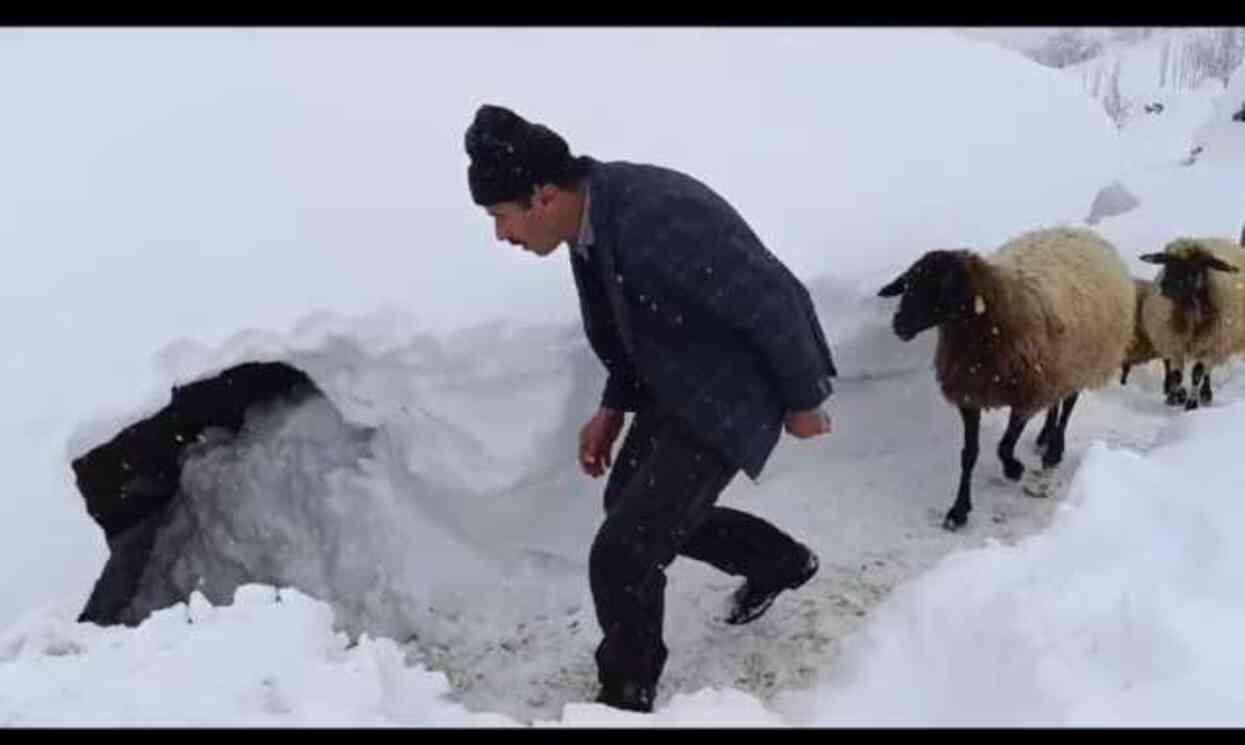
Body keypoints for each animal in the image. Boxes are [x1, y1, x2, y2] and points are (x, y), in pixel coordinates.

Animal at [876, 226, 1140, 530]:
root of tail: (1079, 231)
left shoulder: (1027, 394)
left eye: (941, 286)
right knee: (1056, 402)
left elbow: (1004, 445)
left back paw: (1054, 450)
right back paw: (1044, 436)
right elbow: (969, 454)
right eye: (909, 283)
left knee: (1069, 403)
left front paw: (1014, 468)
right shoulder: (970, 394)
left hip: (1084, 361)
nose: (899, 325)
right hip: (1059, 367)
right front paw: (959, 510)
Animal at [1140, 236, 1245, 411]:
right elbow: (1177, 375)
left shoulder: (1210, 344)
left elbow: (1197, 373)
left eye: (1195, 265)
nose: (1165, 287)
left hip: (1217, 345)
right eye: (1167, 263)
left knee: (1207, 371)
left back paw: (1206, 394)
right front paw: (1175, 397)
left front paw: (1192, 403)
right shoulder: (1175, 344)